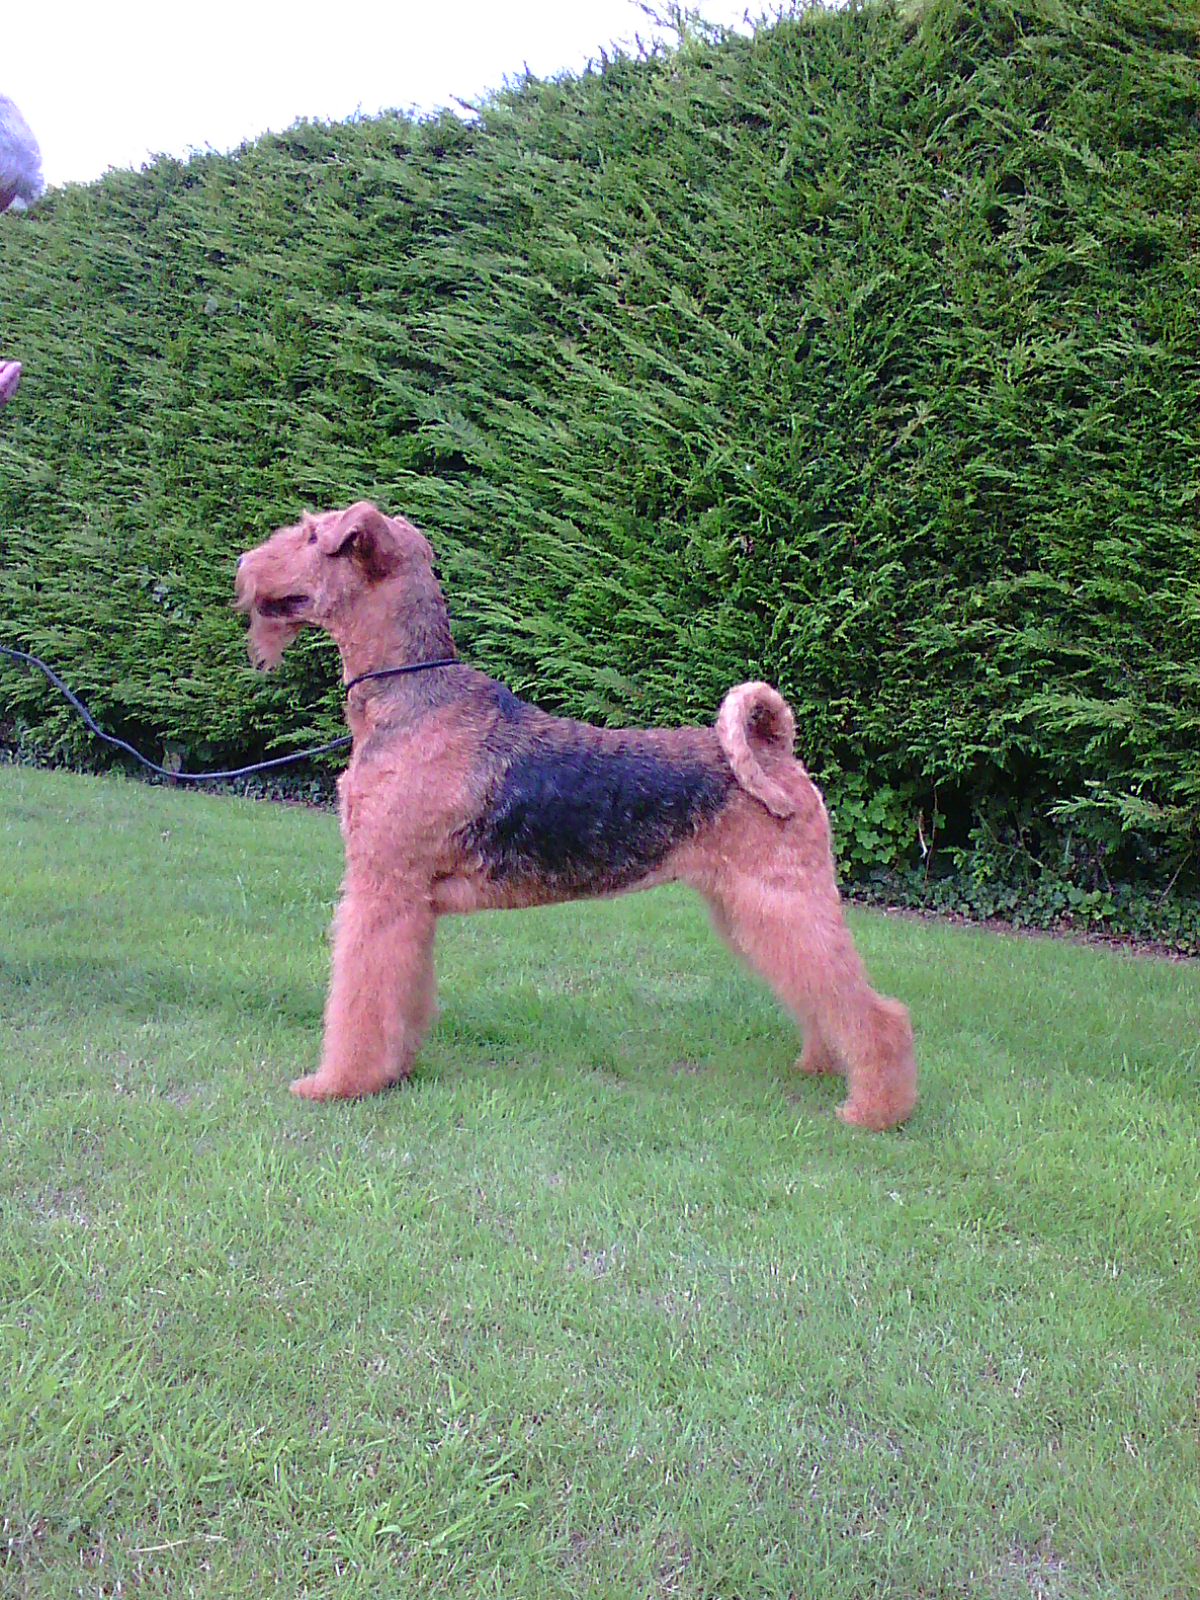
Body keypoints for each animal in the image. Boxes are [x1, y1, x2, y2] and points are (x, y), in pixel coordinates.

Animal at [234, 502, 917, 1129]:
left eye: (311, 536)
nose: (243, 566)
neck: (410, 699)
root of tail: (776, 750)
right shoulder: (410, 902)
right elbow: (400, 997)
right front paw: (394, 1069)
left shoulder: (382, 888)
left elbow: (360, 996)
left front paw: (339, 1083)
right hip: (750, 905)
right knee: (825, 995)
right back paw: (823, 1064)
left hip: (781, 899)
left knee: (874, 1009)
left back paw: (875, 1109)